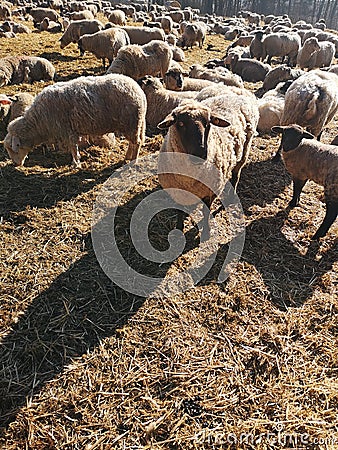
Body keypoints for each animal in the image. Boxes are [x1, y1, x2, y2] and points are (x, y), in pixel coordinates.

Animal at [3, 74, 147, 167]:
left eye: (13, 148)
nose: (15, 164)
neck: (38, 122)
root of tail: (139, 91)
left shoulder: (67, 130)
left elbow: (73, 147)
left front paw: (76, 163)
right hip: (135, 124)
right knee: (133, 142)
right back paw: (127, 157)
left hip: (131, 123)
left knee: (136, 143)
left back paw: (133, 160)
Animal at [156, 90, 258, 239]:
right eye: (180, 124)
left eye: (208, 124)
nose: (201, 153)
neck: (188, 179)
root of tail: (236, 94)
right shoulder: (177, 192)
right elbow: (180, 211)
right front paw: (179, 230)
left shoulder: (210, 191)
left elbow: (206, 211)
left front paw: (206, 231)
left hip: (243, 153)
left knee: (235, 175)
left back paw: (231, 196)